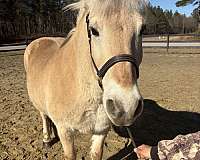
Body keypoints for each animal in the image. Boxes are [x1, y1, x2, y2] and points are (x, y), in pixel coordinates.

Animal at [24, 0, 147, 159]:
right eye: (93, 30)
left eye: (142, 29)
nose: (126, 107)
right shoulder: (65, 131)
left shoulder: (101, 130)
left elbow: (96, 153)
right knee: (44, 116)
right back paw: (46, 139)